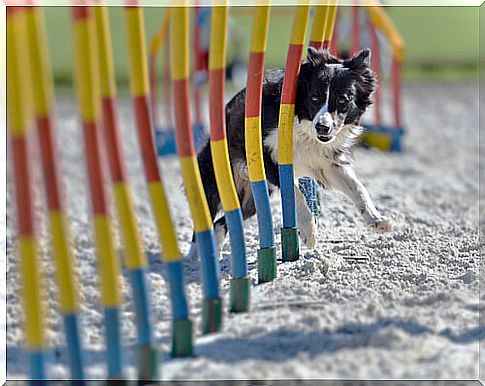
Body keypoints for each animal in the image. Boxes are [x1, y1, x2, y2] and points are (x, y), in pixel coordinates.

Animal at [191, 47, 392, 253]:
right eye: (314, 97)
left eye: (343, 99)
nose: (322, 127)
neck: (304, 125)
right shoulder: (265, 157)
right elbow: (294, 192)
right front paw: (309, 232)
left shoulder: (325, 163)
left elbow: (357, 188)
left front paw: (376, 220)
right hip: (216, 175)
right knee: (206, 218)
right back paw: (196, 255)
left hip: (254, 196)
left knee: (223, 221)